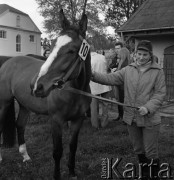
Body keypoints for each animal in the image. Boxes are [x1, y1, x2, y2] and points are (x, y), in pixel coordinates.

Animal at [0, 9, 92, 180]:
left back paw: (25, 156)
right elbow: (57, 151)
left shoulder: (78, 120)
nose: (37, 86)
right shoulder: (56, 120)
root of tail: (8, 62)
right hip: (3, 103)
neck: (75, 91)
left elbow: (73, 147)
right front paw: (57, 176)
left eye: (71, 50)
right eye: (53, 45)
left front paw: (72, 172)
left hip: (24, 105)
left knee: (20, 125)